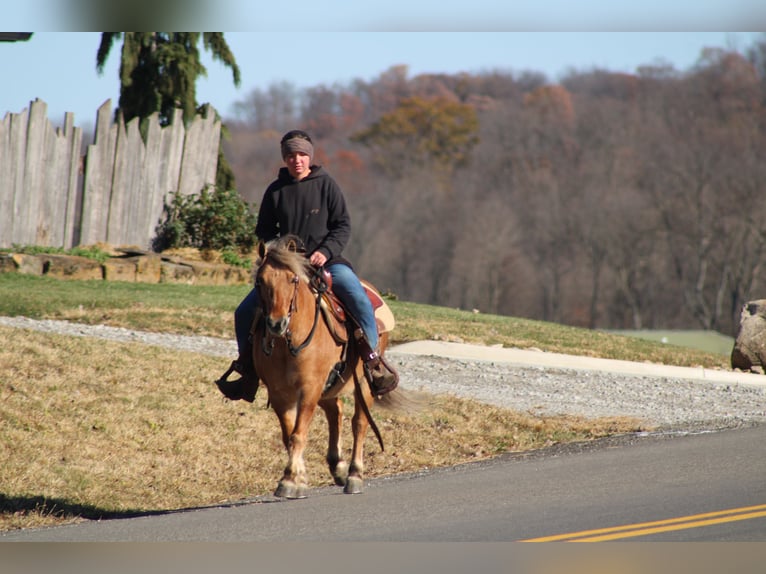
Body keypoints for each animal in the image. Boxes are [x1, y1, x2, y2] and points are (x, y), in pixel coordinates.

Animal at [251, 236, 397, 498]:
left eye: (293, 279)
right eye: (260, 281)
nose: (277, 324)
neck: (288, 344)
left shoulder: (310, 388)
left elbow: (298, 435)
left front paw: (288, 480)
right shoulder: (279, 394)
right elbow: (288, 435)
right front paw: (299, 478)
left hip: (363, 382)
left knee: (359, 423)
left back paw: (354, 475)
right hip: (329, 386)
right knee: (335, 411)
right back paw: (337, 466)